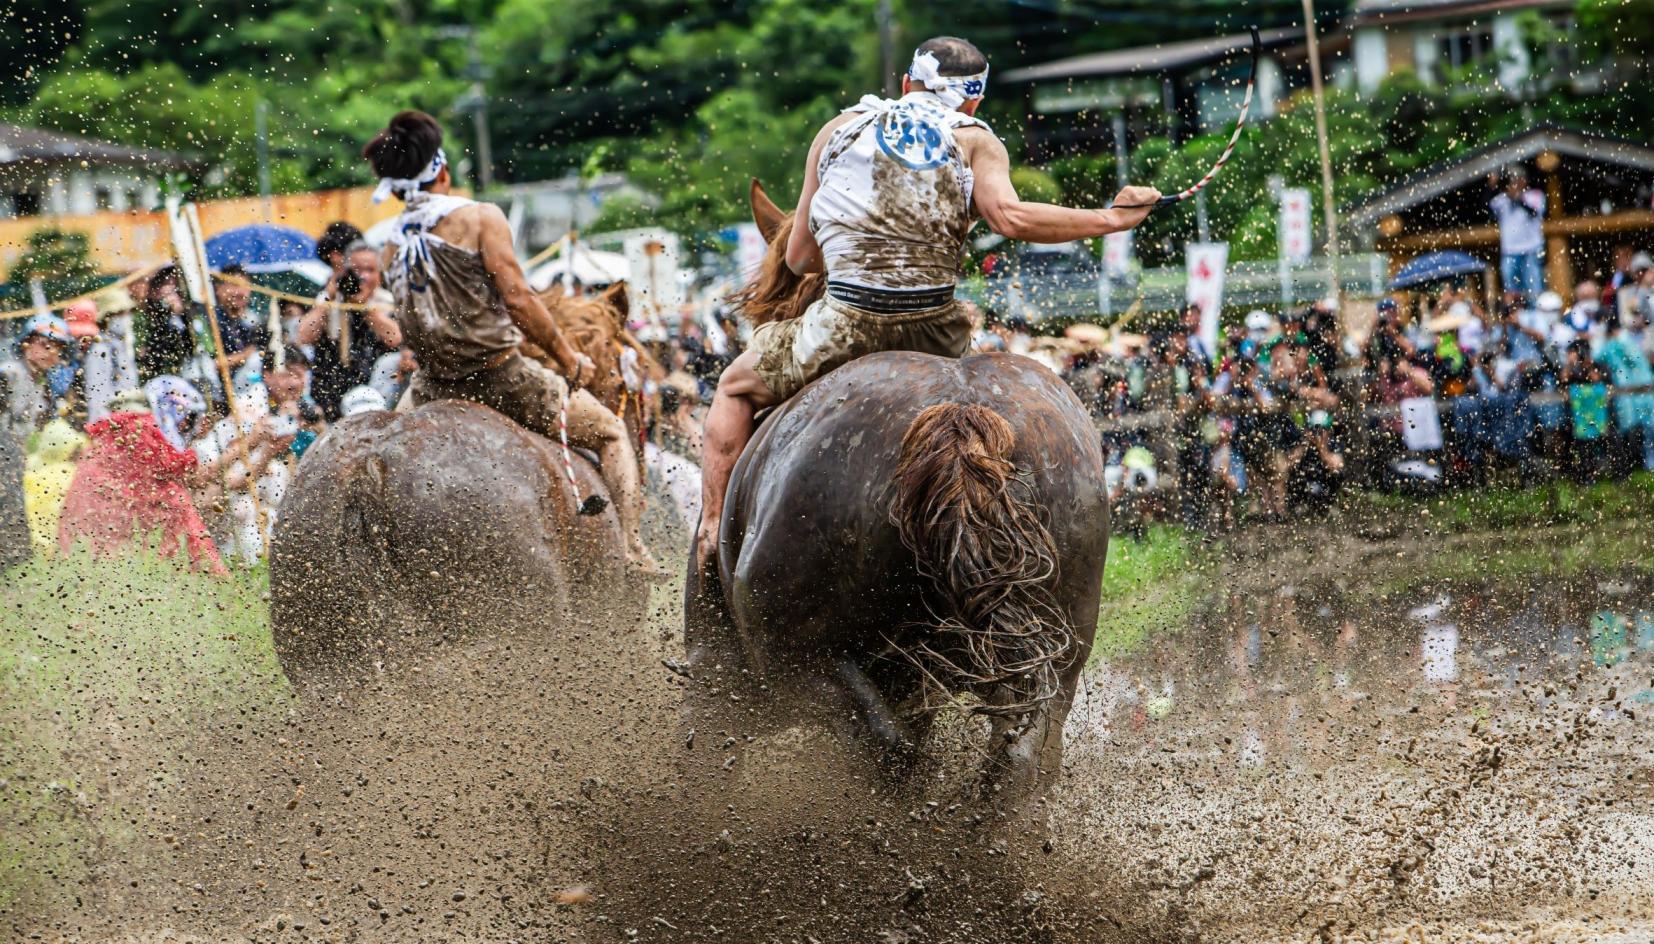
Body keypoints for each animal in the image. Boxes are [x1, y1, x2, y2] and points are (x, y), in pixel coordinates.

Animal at [684, 182, 1111, 806]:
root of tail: (959, 415)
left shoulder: (717, 670)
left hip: (794, 667)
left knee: (886, 744)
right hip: (1055, 650)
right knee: (1018, 754)